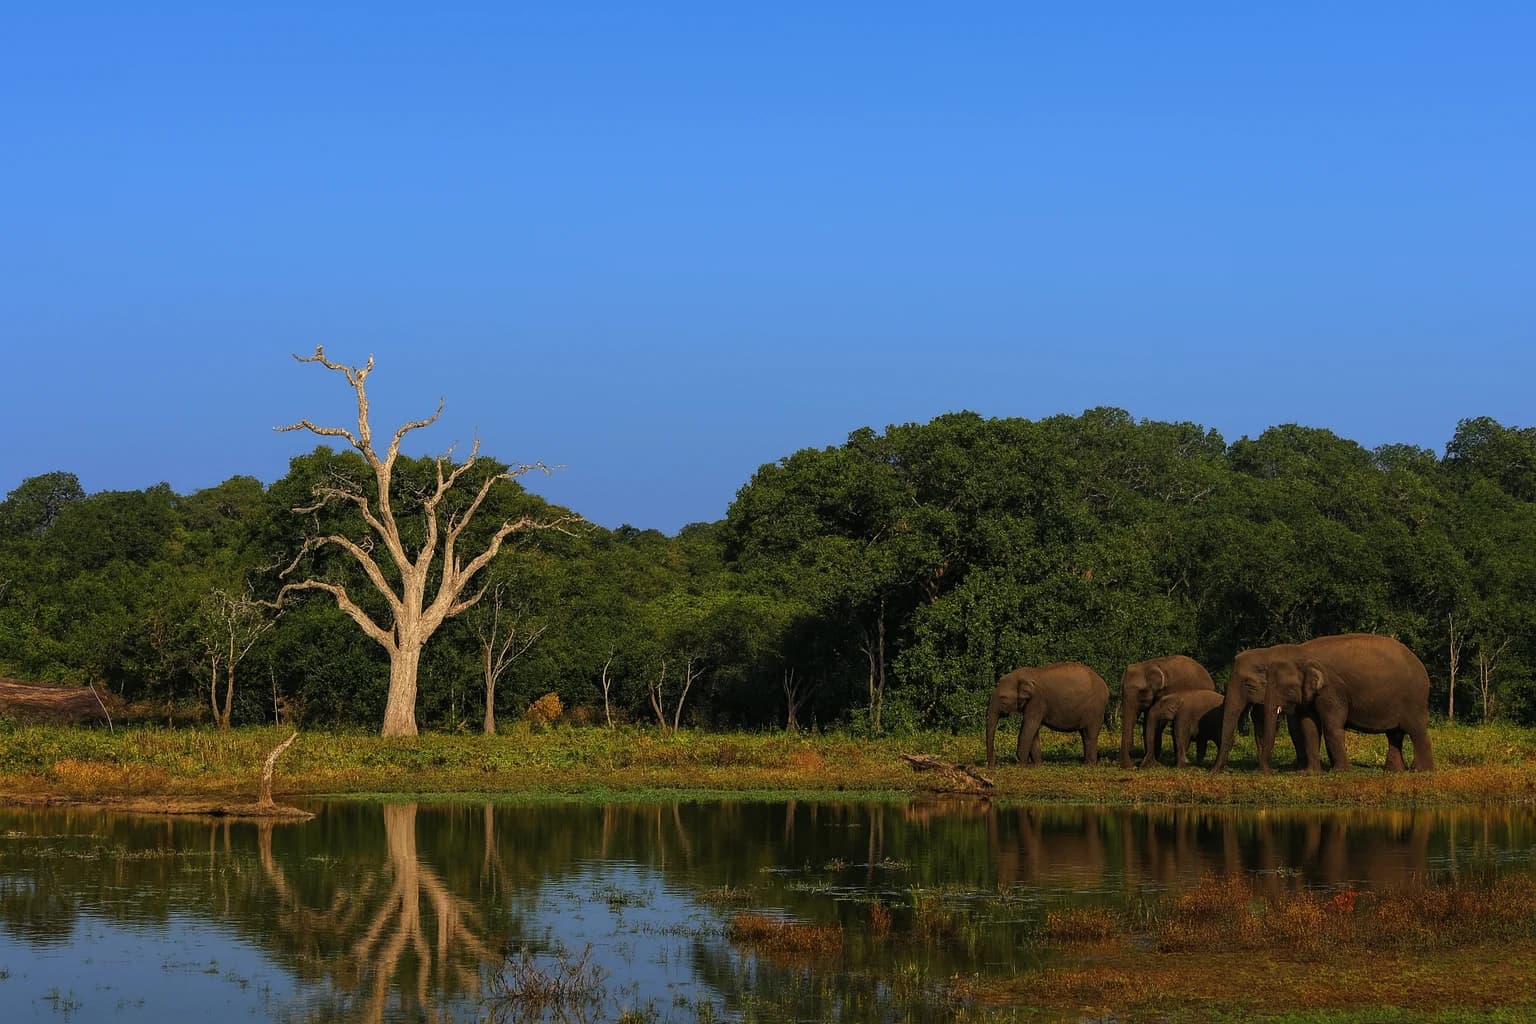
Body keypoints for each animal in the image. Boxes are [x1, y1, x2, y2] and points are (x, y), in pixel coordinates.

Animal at [1211, 634, 1434, 773]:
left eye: (1248, 684)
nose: (1265, 771)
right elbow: (1308, 726)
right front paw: (1308, 773)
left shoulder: (1331, 690)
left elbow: (1330, 726)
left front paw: (1339, 771)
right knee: (1395, 734)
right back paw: (1394, 771)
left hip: (1414, 699)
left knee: (1416, 730)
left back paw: (1421, 770)